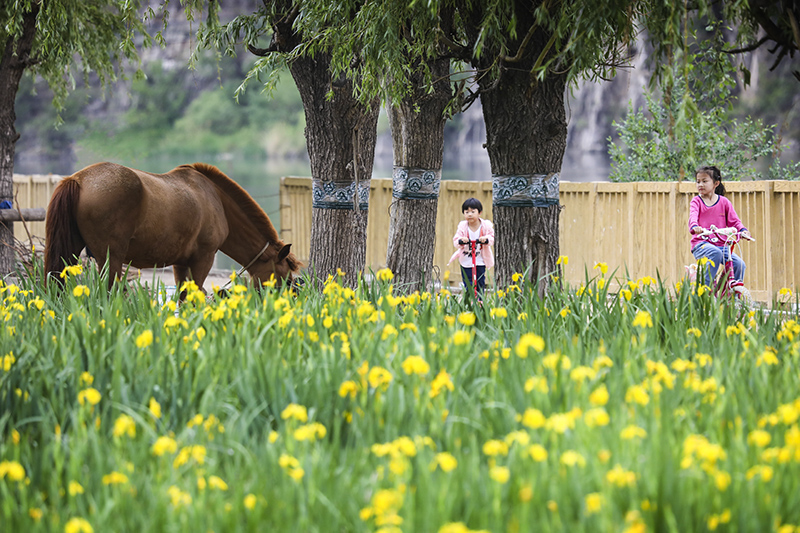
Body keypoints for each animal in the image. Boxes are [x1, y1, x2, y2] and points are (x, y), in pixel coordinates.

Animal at [44, 162, 301, 291]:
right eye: (285, 277)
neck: (215, 199)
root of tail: (77, 179)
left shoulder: (181, 263)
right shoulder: (203, 259)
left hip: (71, 254)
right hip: (111, 258)